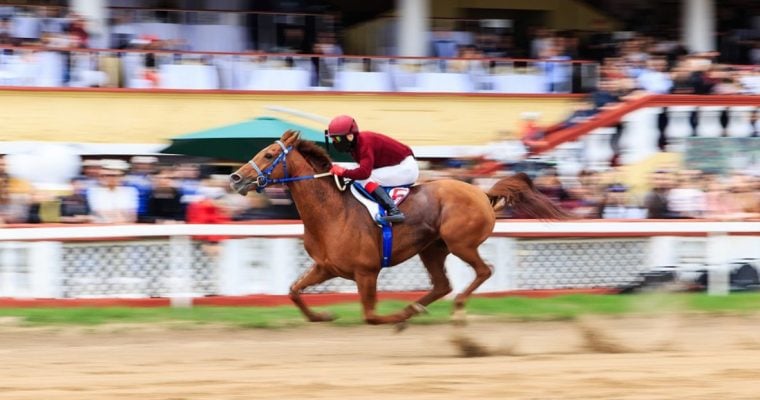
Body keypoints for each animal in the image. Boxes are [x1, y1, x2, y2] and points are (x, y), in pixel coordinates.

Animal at [230, 130, 568, 326]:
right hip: (433, 249)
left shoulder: (366, 272)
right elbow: (293, 291)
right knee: (442, 285)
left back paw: (452, 309)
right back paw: (415, 309)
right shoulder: (326, 267)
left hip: (460, 243)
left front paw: (395, 318)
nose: (235, 178)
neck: (332, 212)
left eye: (269, 154)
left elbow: (370, 316)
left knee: (482, 272)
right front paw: (323, 314)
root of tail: (482, 193)